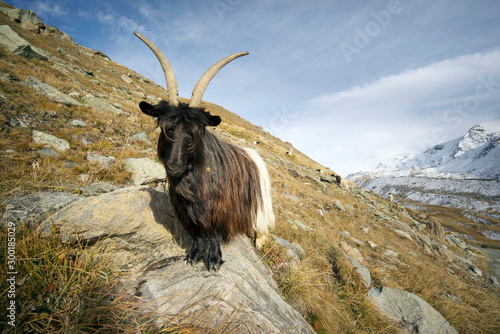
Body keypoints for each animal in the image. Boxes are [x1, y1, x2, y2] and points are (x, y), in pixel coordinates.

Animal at [135, 31, 276, 272]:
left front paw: (214, 258)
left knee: (261, 228)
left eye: (195, 133)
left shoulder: (219, 207)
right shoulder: (185, 209)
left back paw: (258, 241)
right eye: (166, 128)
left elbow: (213, 231)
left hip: (261, 205)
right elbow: (199, 233)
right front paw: (195, 254)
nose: (173, 166)